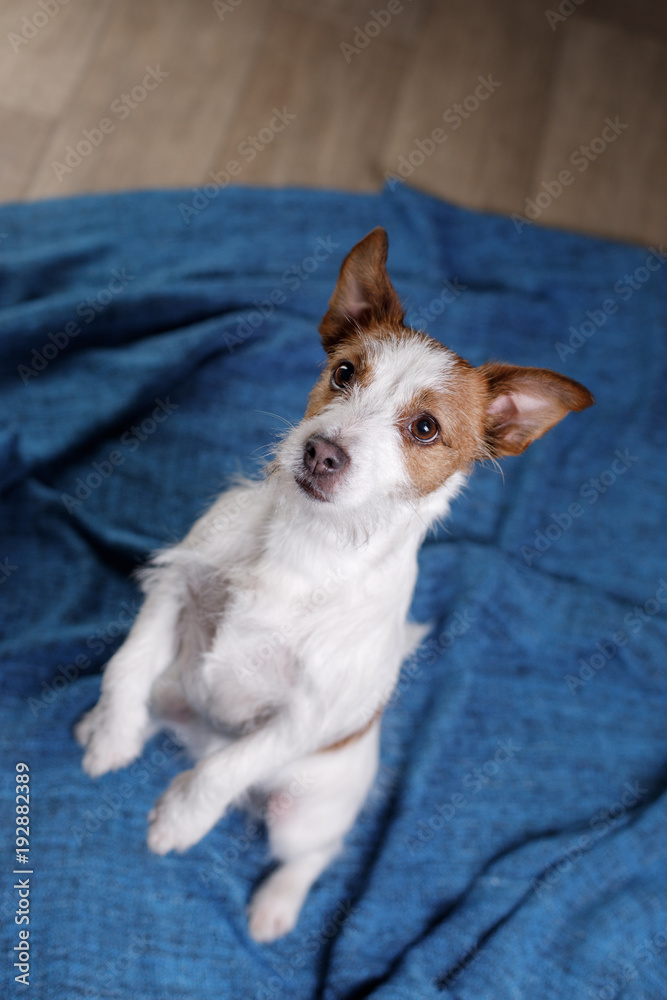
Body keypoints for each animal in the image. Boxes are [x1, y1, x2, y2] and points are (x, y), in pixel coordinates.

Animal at [74, 227, 596, 936]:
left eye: (425, 428)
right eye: (344, 373)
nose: (321, 451)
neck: (308, 547)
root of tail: (195, 730)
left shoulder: (306, 716)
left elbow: (225, 770)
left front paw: (180, 819)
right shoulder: (177, 587)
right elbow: (125, 665)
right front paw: (113, 737)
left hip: (302, 808)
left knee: (313, 849)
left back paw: (276, 903)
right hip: (175, 683)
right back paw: (97, 724)